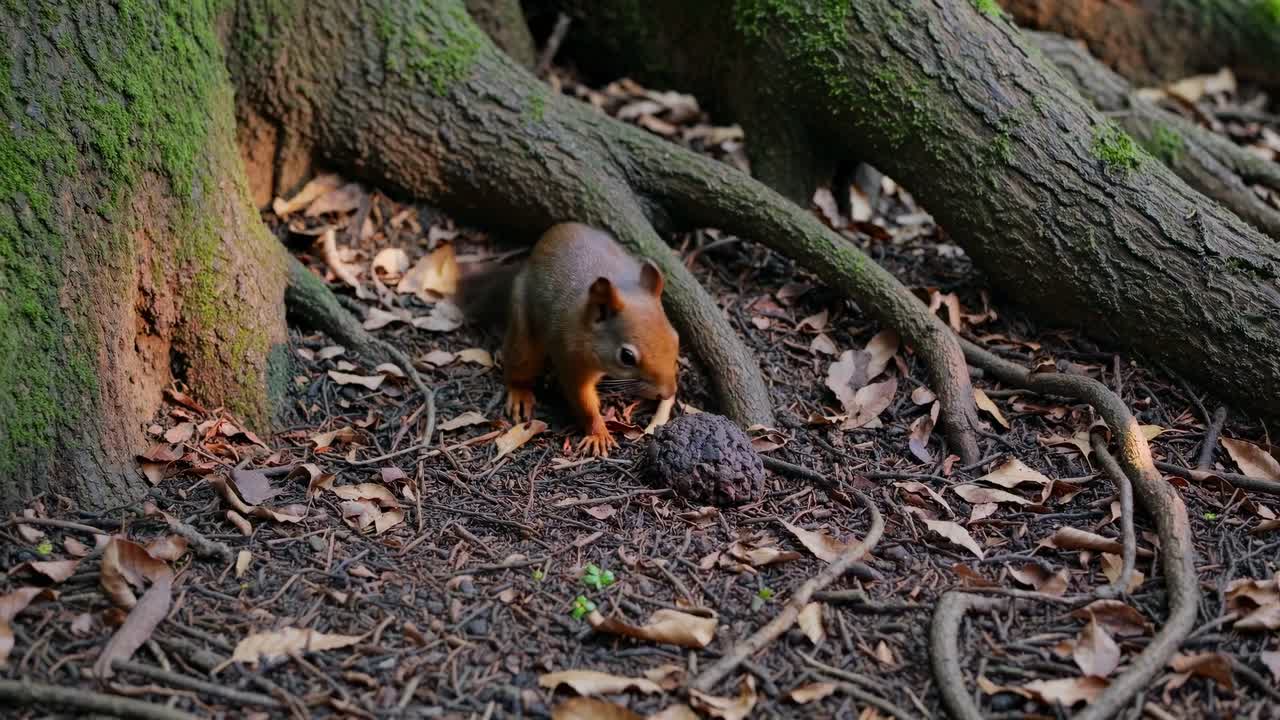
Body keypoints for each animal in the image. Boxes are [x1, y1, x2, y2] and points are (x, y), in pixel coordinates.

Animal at [458, 223, 680, 456]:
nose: (668, 392)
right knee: (519, 363)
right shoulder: (570, 357)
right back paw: (520, 392)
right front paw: (599, 433)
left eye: (676, 338)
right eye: (627, 356)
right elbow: (583, 401)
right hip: (522, 328)